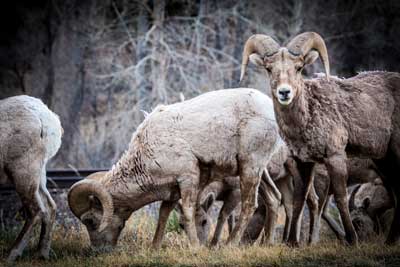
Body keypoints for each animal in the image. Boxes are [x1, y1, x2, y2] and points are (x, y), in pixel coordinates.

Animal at [0, 96, 62, 262]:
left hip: (22, 172)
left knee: (36, 210)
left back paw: (11, 255)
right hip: (39, 175)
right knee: (49, 207)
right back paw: (41, 254)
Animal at [67, 89, 282, 250]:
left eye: (90, 221)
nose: (98, 250)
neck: (146, 151)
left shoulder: (188, 179)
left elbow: (187, 213)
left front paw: (195, 247)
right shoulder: (172, 191)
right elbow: (163, 215)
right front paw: (154, 247)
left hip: (250, 168)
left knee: (249, 205)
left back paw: (230, 245)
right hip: (259, 171)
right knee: (273, 198)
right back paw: (267, 244)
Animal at [239, 30, 400, 246]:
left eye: (299, 68)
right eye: (269, 68)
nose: (284, 92)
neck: (309, 113)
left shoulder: (335, 157)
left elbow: (340, 198)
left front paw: (352, 240)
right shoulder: (303, 163)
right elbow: (299, 200)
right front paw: (293, 243)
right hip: (383, 160)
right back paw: (389, 241)